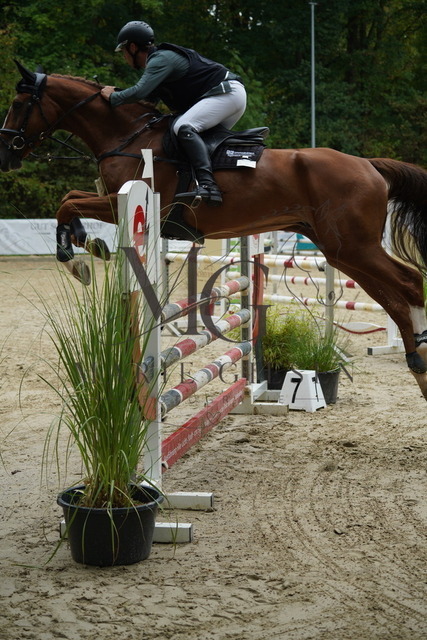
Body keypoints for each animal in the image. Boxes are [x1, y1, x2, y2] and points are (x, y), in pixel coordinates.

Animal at [2, 62, 427, 400]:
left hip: (354, 247)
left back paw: (420, 356)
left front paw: (77, 257)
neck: (126, 136)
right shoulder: (111, 200)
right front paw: (87, 245)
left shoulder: (122, 201)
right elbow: (69, 200)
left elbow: (67, 202)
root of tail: (369, 165)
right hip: (341, 250)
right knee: (395, 299)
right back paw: (417, 363)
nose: (6, 155)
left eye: (19, 104)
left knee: (409, 284)